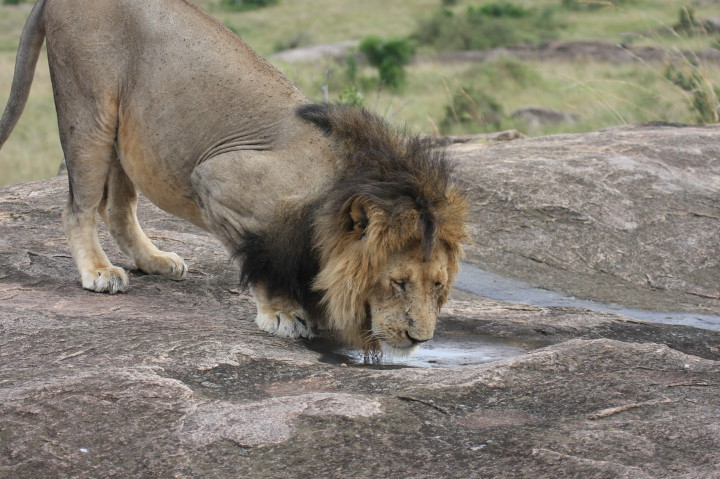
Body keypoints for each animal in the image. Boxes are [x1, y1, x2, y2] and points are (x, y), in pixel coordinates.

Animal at [0, 0, 468, 355]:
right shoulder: (217, 181)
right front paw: (281, 314)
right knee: (77, 207)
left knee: (118, 208)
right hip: (89, 107)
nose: (419, 339)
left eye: (438, 285)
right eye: (398, 283)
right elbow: (263, 264)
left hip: (124, 127)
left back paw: (155, 260)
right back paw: (98, 271)